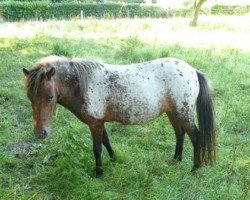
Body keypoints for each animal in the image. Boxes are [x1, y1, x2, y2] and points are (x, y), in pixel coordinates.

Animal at [22, 55, 216, 177]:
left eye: (50, 97)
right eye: (30, 97)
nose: (40, 133)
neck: (82, 85)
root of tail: (193, 71)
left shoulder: (94, 124)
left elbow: (97, 148)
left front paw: (99, 172)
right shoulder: (99, 122)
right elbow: (106, 142)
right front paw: (114, 160)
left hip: (183, 114)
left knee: (196, 137)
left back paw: (195, 168)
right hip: (173, 113)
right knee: (179, 134)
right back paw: (176, 160)